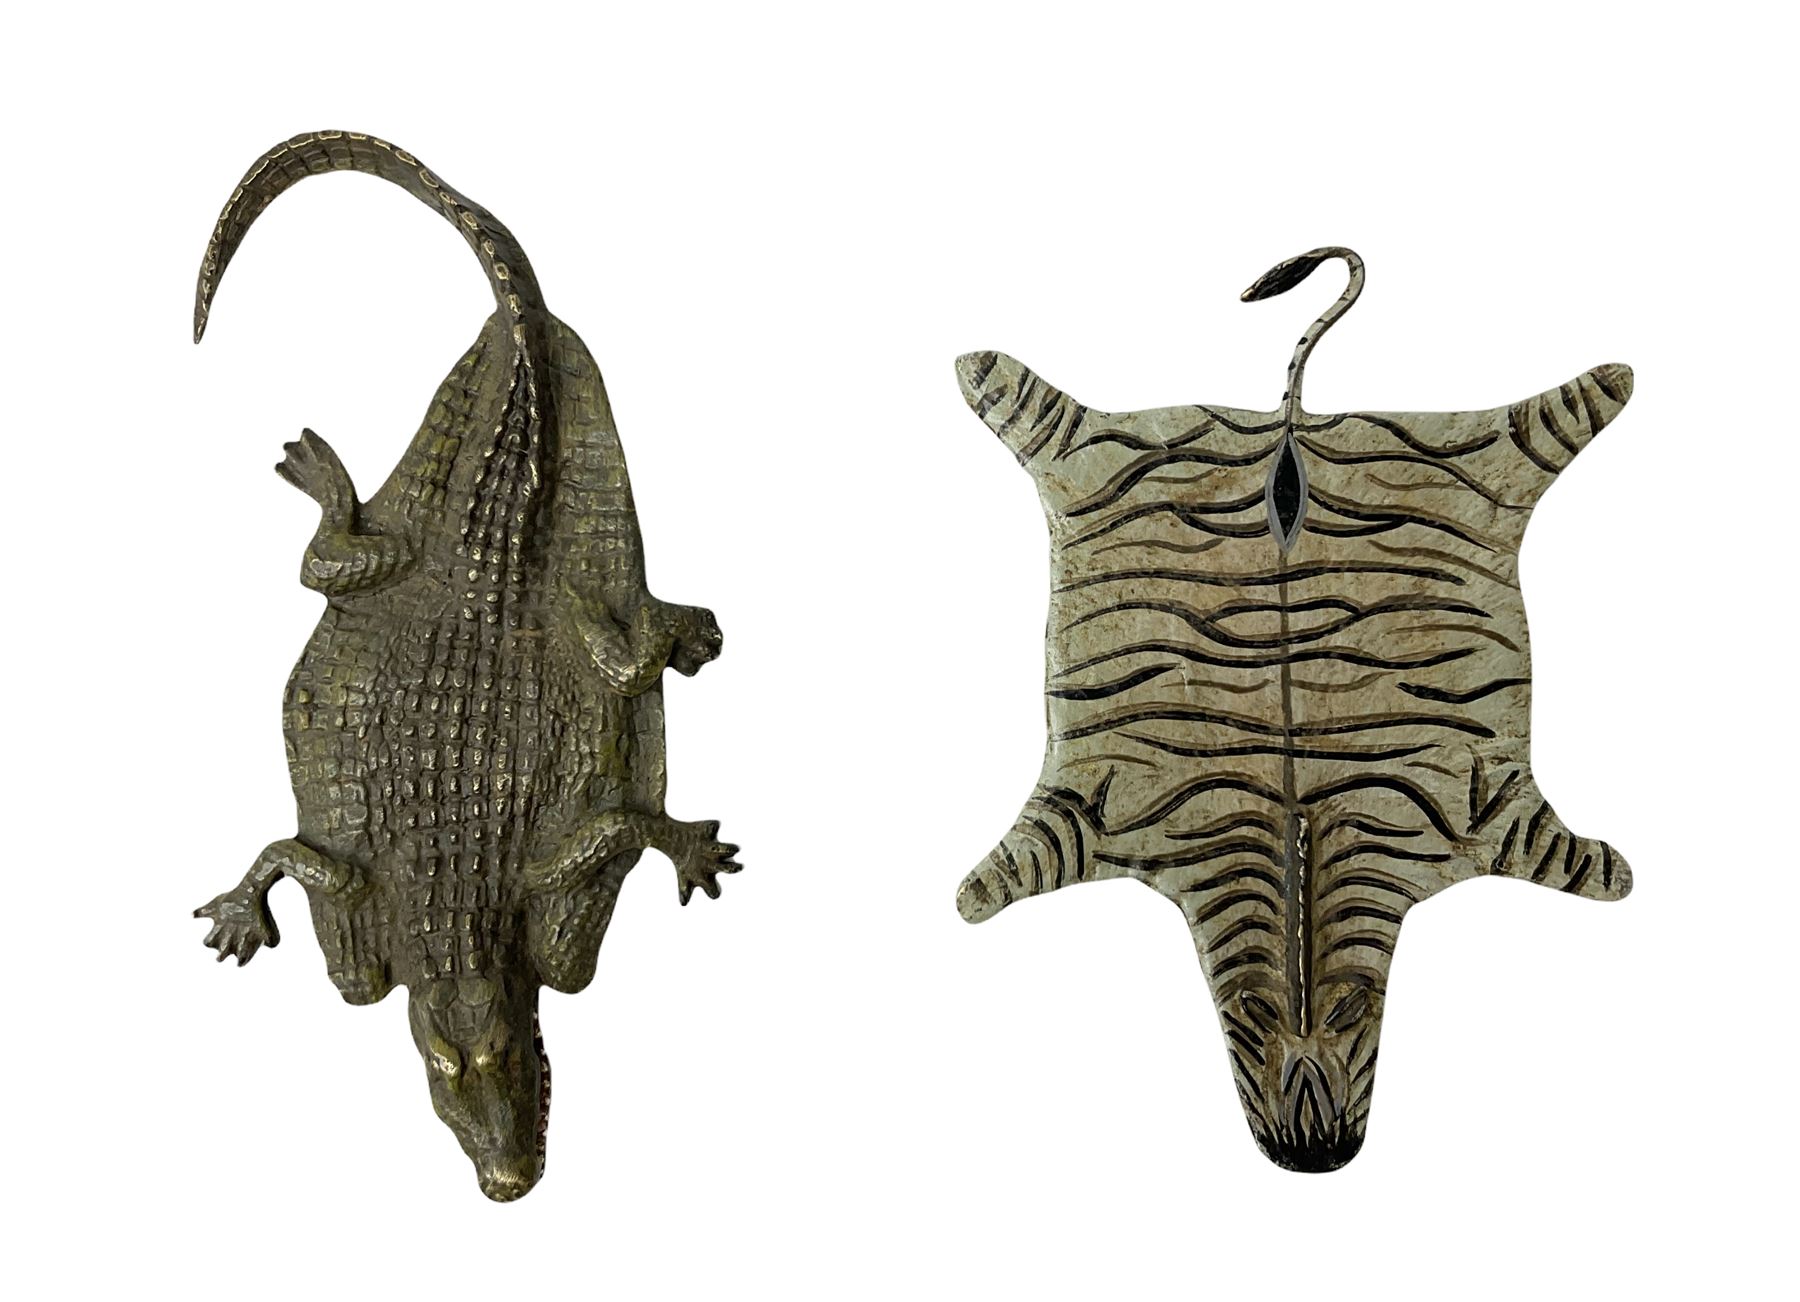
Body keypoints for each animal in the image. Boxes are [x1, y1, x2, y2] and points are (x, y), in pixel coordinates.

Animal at [954, 247, 1633, 1172]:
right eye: (1251, 1015)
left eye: (1350, 1013)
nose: (1315, 1151)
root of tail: (1293, 422)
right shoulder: (1089, 805)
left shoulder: (1484, 803)